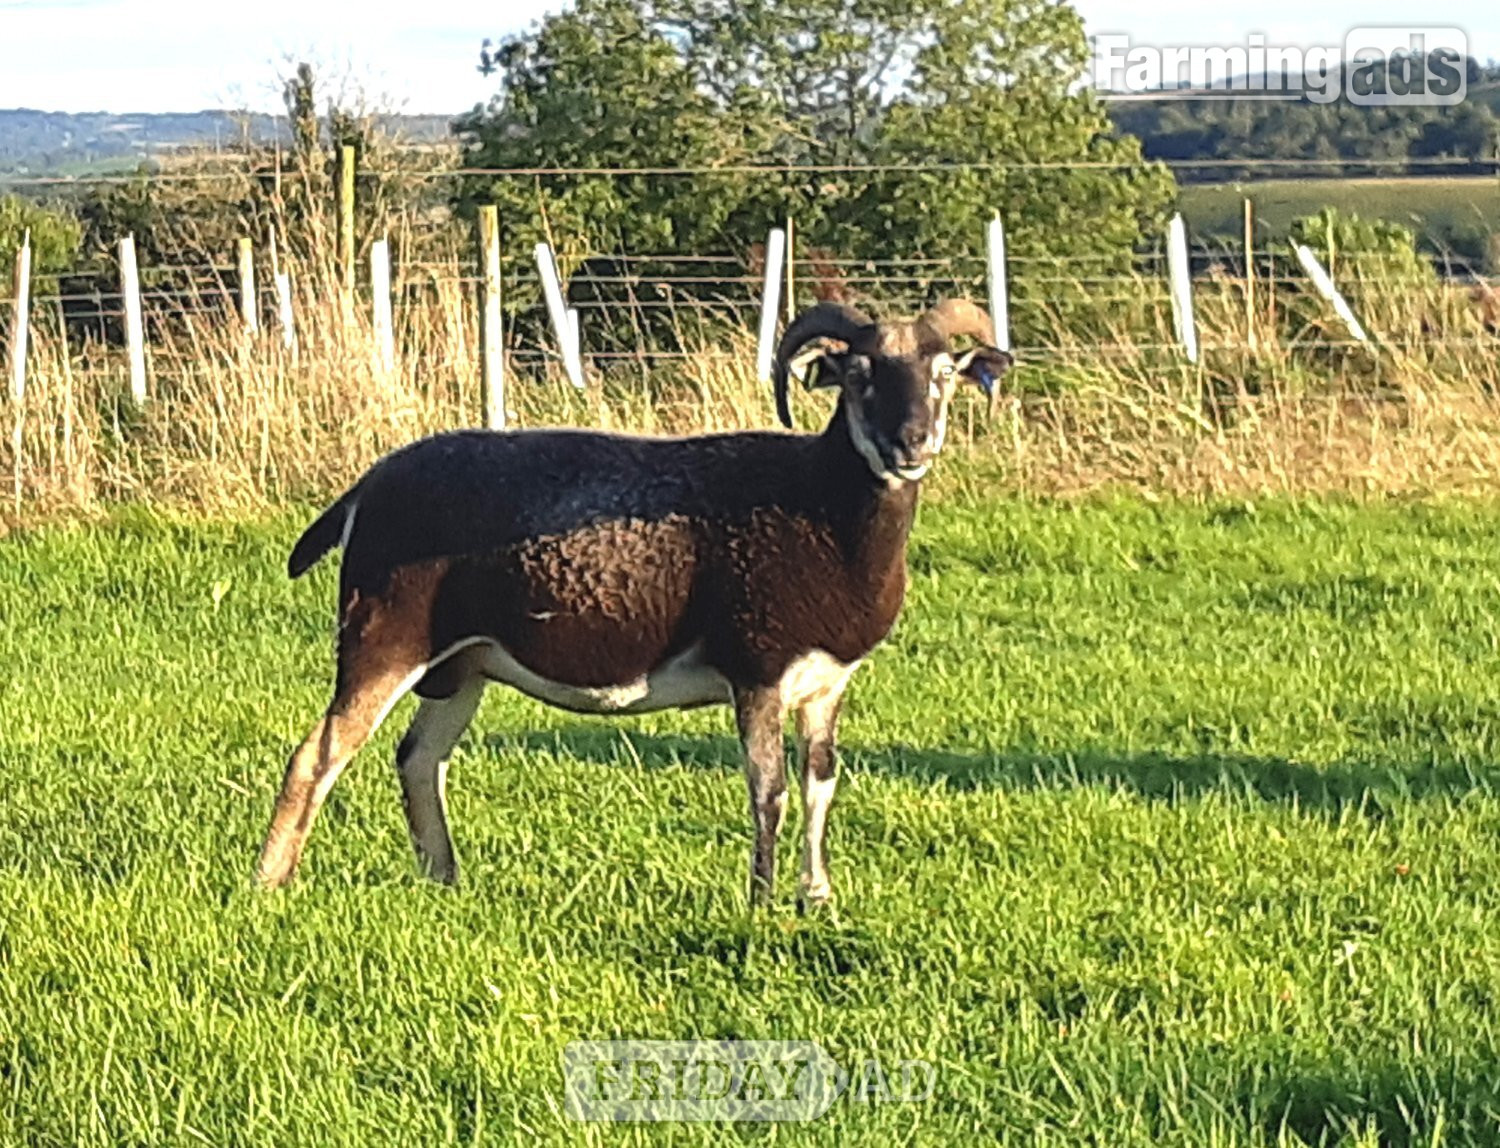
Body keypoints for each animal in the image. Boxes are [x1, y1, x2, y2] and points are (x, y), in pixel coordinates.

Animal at [254, 298, 1012, 907]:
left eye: (943, 374)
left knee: (417, 759)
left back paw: (445, 880)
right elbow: (766, 789)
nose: (912, 443)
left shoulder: (825, 684)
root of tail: (365, 489)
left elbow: (819, 783)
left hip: (462, 664)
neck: (819, 508)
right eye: (859, 377)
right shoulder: (756, 670)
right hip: (383, 637)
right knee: (317, 756)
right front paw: (762, 901)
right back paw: (271, 881)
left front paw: (817, 897)